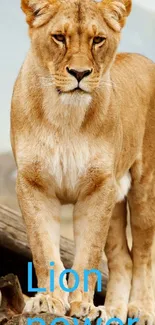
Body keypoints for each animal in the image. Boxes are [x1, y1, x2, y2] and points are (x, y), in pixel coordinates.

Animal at [10, 0, 155, 322]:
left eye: (97, 39)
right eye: (59, 37)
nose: (79, 73)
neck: (65, 116)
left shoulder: (98, 187)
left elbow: (88, 253)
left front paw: (82, 305)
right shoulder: (33, 184)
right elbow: (44, 249)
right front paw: (50, 300)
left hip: (144, 190)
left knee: (143, 255)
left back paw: (140, 310)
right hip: (116, 200)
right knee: (123, 259)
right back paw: (112, 313)